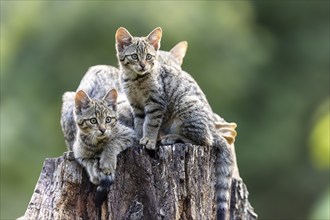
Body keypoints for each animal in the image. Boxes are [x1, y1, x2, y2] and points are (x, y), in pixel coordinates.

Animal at [116, 27, 235, 220]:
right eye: (134, 56)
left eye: (149, 56)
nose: (143, 65)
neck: (135, 79)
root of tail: (214, 129)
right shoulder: (137, 107)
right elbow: (140, 124)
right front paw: (139, 139)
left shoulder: (156, 103)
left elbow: (150, 124)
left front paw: (149, 140)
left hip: (186, 109)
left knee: (205, 140)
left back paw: (171, 137)